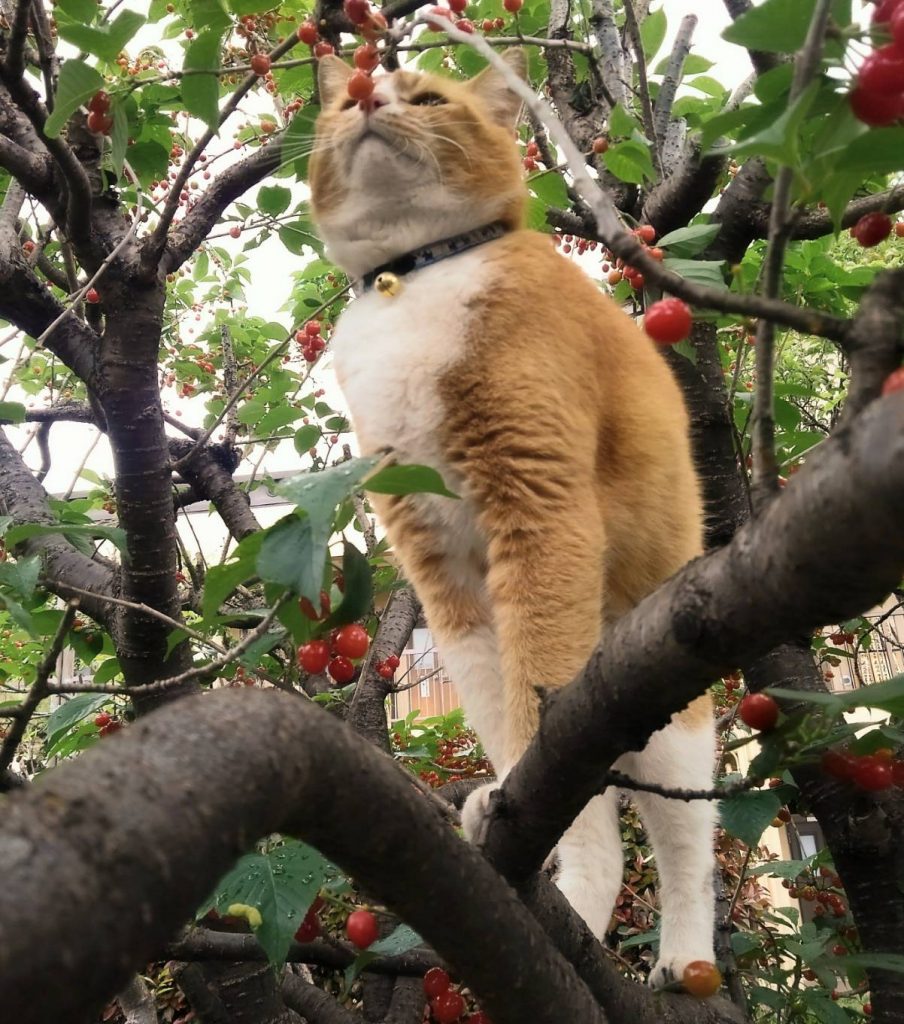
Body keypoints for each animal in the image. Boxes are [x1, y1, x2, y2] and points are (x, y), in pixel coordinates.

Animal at [307, 49, 716, 983]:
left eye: (426, 98)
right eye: (344, 104)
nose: (366, 95)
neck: (416, 275)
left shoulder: (539, 509)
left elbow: (538, 720)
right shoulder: (445, 575)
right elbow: (501, 716)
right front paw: (499, 809)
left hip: (670, 712)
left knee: (686, 837)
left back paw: (683, 956)